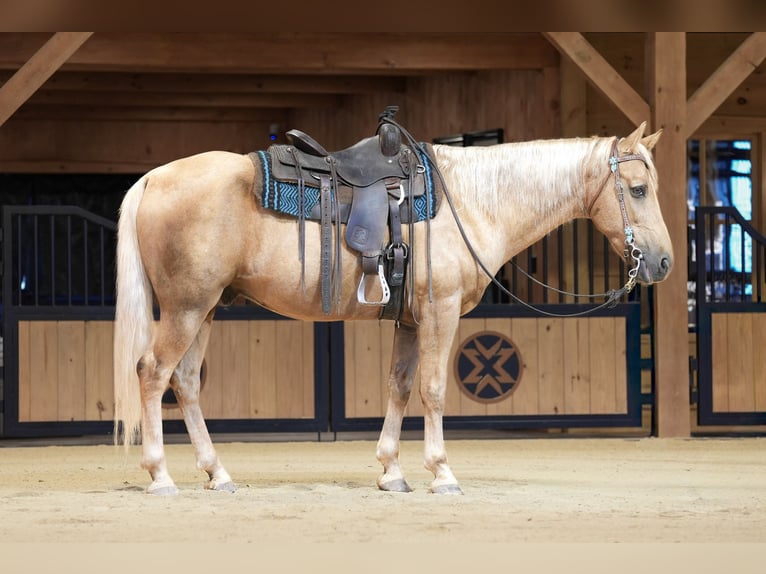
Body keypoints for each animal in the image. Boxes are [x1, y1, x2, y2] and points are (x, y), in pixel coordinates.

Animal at [113, 120, 672, 495]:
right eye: (638, 189)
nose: (663, 262)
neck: (472, 202)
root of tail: (154, 178)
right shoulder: (441, 312)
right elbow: (434, 389)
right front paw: (442, 472)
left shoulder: (410, 319)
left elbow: (400, 387)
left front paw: (392, 471)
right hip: (186, 309)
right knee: (153, 372)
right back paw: (160, 475)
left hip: (205, 309)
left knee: (185, 382)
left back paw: (217, 473)